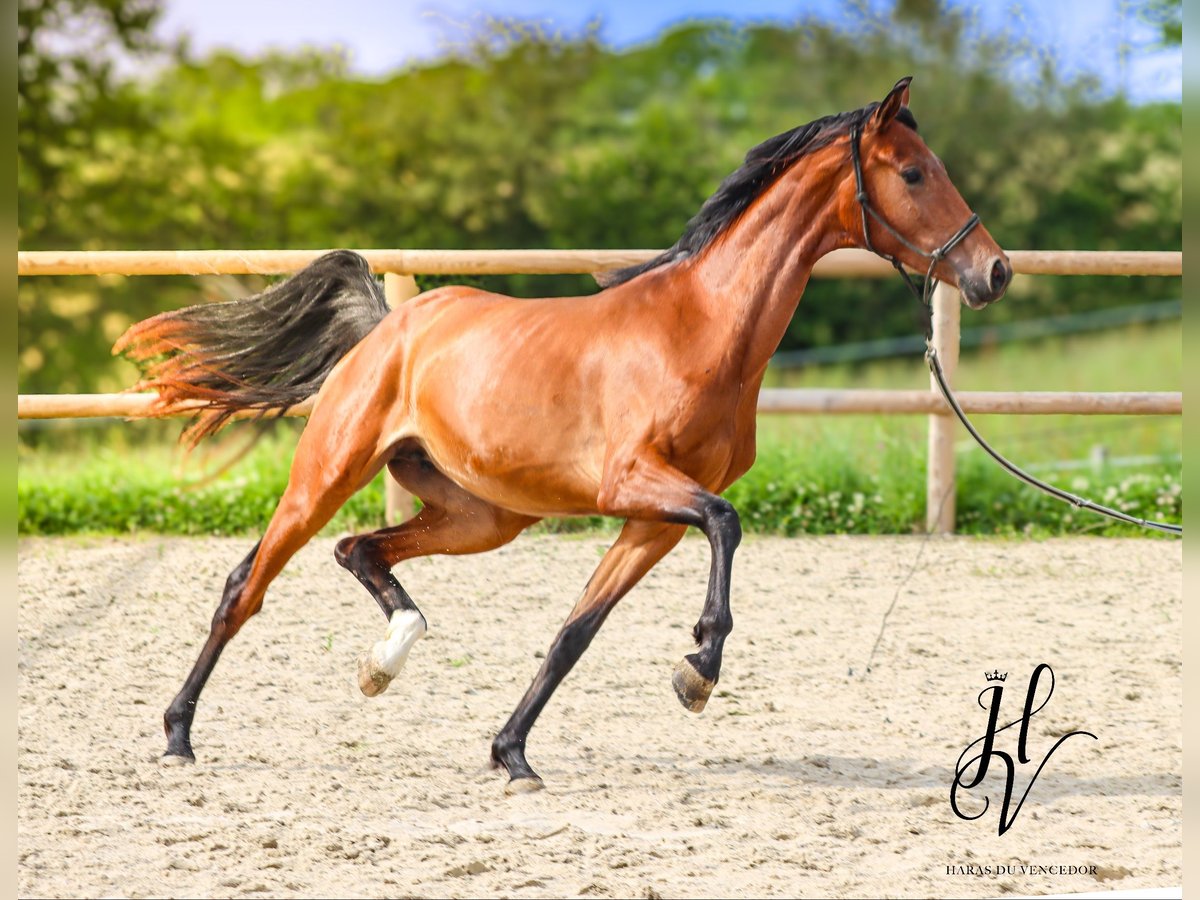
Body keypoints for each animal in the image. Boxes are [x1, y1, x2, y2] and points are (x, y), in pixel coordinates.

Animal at [114, 79, 1012, 796]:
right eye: (912, 172)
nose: (993, 272)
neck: (698, 329)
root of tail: (389, 326)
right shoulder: (634, 483)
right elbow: (726, 524)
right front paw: (699, 669)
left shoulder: (652, 521)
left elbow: (577, 630)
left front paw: (512, 754)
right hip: (329, 473)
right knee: (247, 584)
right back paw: (178, 734)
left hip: (483, 516)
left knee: (359, 550)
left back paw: (383, 661)